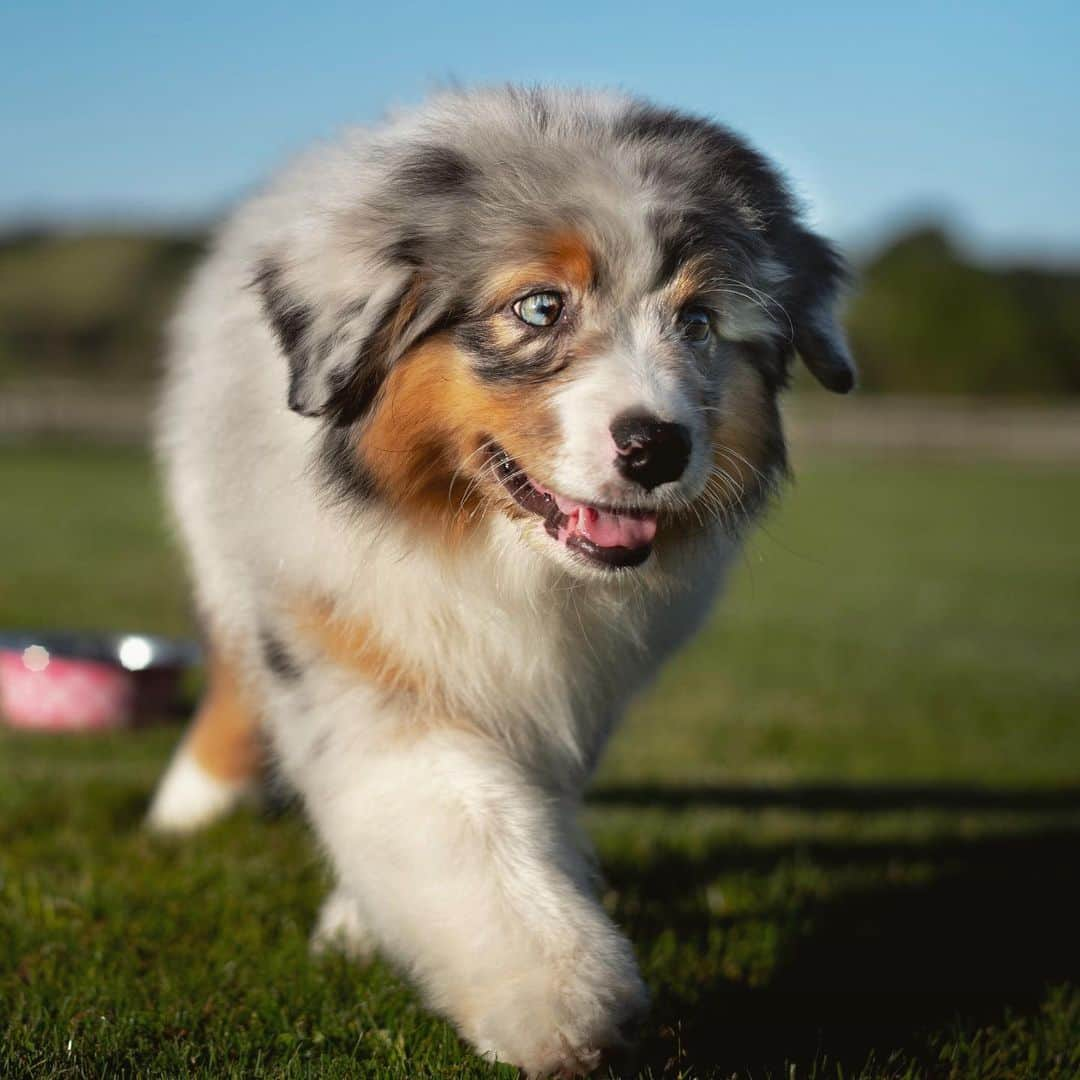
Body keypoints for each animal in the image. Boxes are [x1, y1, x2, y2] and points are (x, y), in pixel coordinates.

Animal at [147, 84, 855, 1071]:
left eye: (700, 322)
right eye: (541, 307)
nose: (658, 447)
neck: (489, 547)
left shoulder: (576, 688)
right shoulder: (344, 633)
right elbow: (456, 816)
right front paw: (564, 1001)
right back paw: (188, 809)